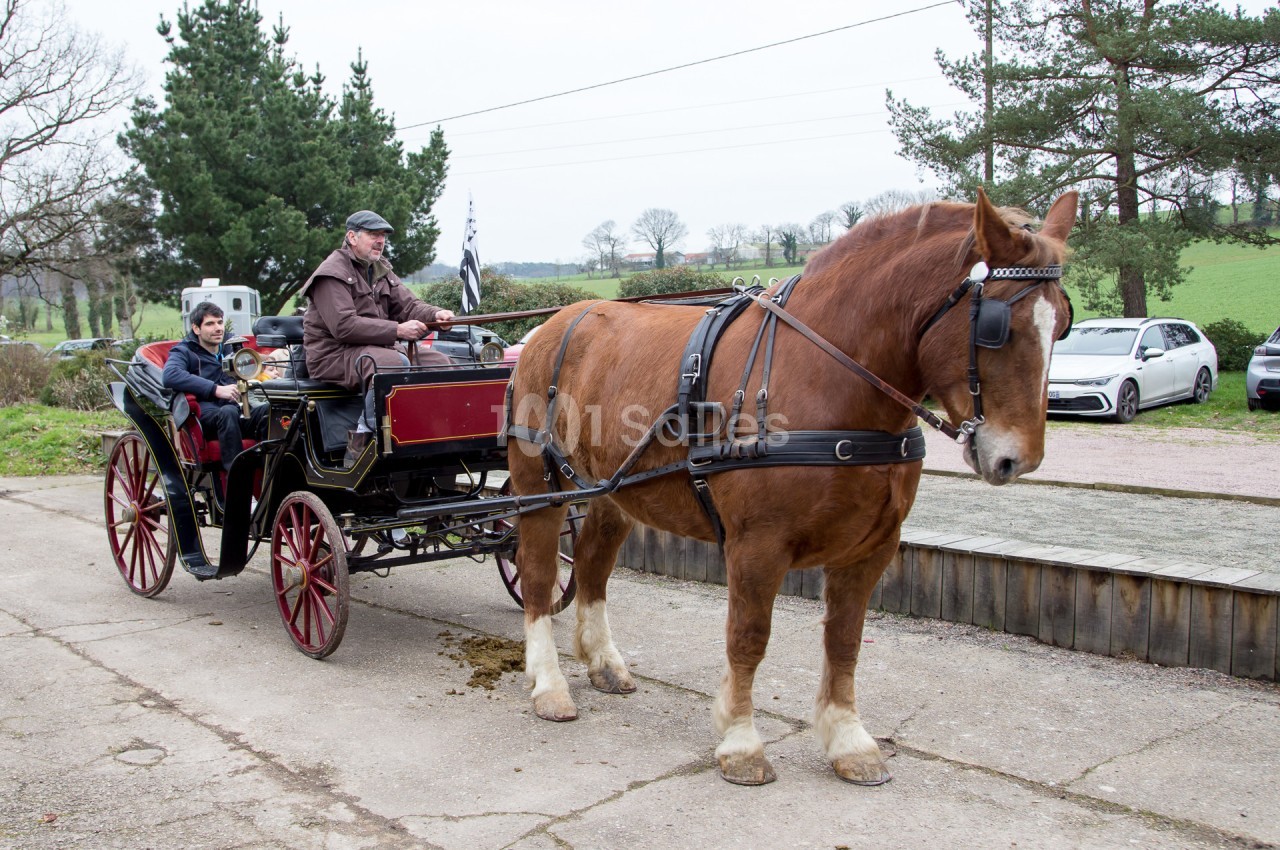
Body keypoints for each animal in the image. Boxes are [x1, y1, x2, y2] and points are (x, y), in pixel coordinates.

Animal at [505, 189, 1078, 786]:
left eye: (1061, 323)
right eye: (996, 326)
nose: (1018, 459)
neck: (829, 377)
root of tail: (550, 326)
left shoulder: (874, 547)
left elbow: (845, 640)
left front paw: (848, 740)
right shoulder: (758, 544)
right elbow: (749, 638)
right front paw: (741, 742)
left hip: (614, 490)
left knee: (592, 564)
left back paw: (603, 662)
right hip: (540, 486)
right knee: (539, 574)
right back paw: (549, 685)